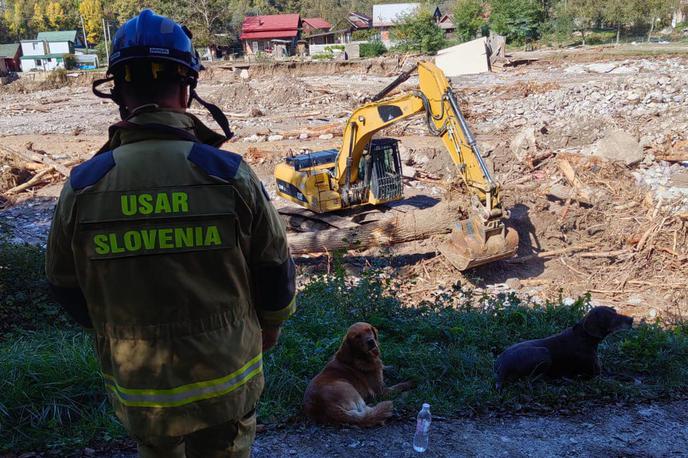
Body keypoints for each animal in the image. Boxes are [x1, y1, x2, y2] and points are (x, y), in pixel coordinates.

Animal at [494, 306, 636, 388]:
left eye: (615, 312)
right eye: (612, 317)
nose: (632, 319)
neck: (585, 336)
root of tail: (502, 367)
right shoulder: (595, 375)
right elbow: (615, 379)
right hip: (544, 353)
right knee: (531, 379)